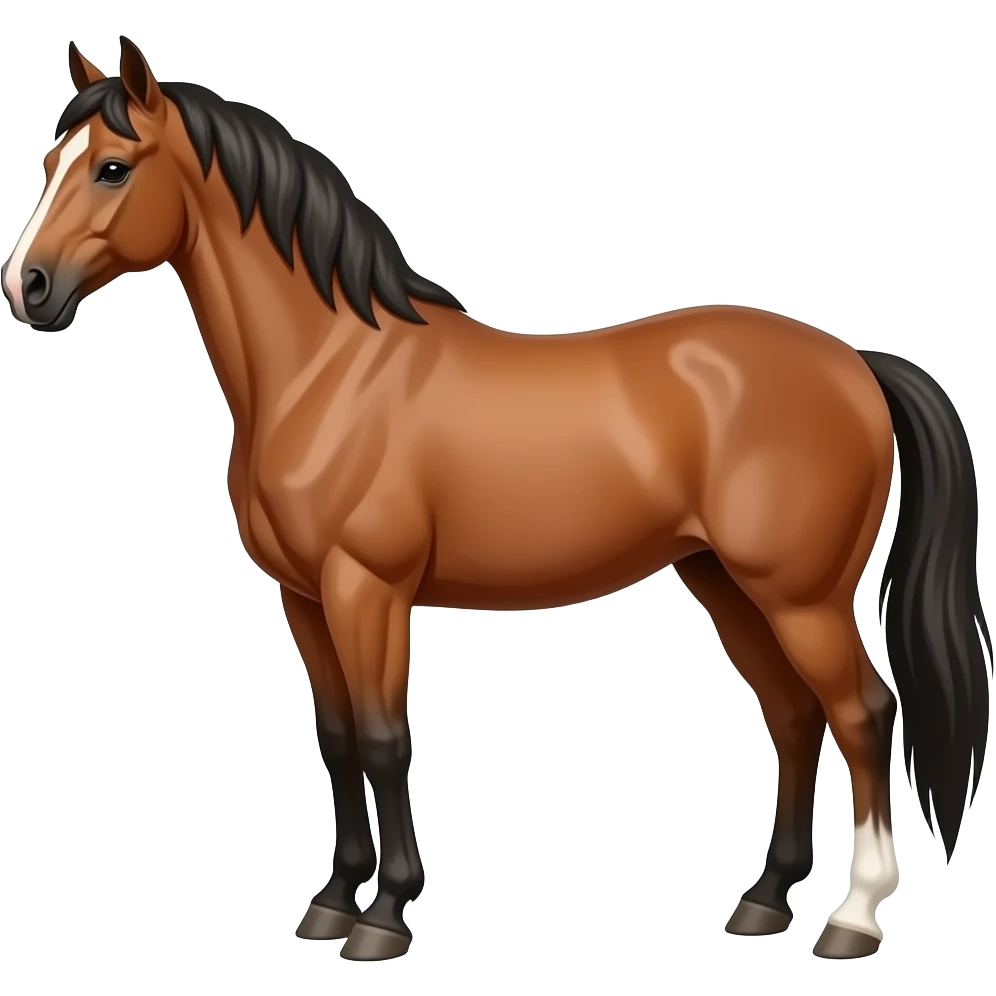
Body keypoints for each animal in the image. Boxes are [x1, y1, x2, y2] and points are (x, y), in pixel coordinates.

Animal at [3, 35, 990, 963]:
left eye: (113, 166)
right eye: (50, 161)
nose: (28, 288)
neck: (331, 369)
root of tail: (854, 362)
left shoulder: (369, 589)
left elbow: (382, 739)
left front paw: (384, 918)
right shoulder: (304, 596)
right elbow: (335, 739)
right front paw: (332, 902)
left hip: (801, 596)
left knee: (863, 715)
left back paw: (853, 917)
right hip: (726, 583)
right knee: (793, 718)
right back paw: (764, 900)